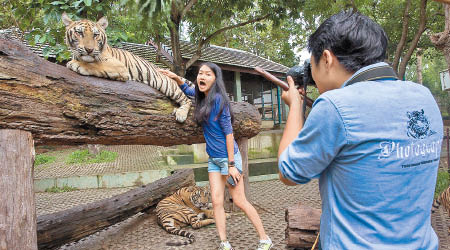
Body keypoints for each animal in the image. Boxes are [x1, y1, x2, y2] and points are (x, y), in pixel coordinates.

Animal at [61, 12, 192, 123]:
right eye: (79, 33)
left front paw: (75, 64)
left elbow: (95, 64)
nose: (89, 49)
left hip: (166, 83)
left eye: (95, 35)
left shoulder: (119, 66)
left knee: (187, 99)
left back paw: (181, 114)